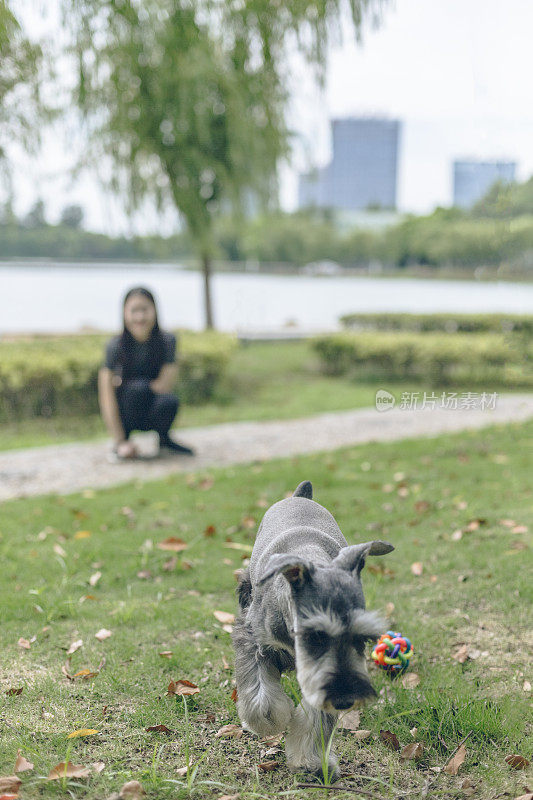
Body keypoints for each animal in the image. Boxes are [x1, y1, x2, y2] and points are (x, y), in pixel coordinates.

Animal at [231, 478, 392, 780]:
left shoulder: (320, 676)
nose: (345, 699)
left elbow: (316, 719)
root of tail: (300, 497)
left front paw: (310, 761)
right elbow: (260, 696)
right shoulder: (252, 642)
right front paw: (270, 721)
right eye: (316, 635)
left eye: (361, 639)